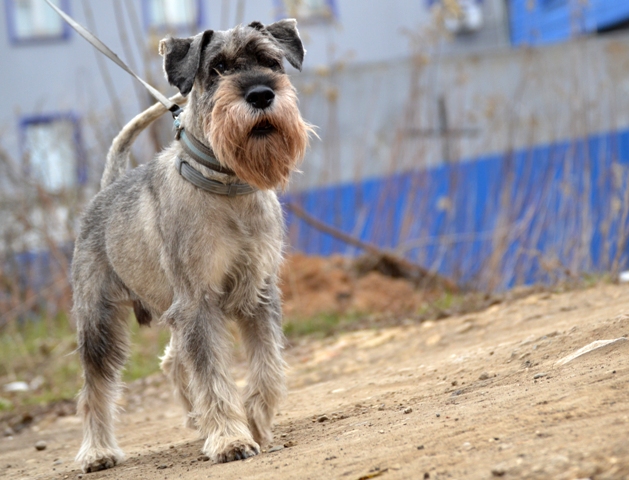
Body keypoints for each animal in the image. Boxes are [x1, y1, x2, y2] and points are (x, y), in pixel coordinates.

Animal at [72, 19, 313, 473]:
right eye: (217, 68)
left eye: (271, 62)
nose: (261, 94)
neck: (228, 185)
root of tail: (108, 187)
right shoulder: (197, 301)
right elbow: (212, 374)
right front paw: (231, 438)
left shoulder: (259, 292)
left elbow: (267, 367)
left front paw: (254, 421)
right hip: (98, 319)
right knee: (95, 386)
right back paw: (97, 450)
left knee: (172, 359)